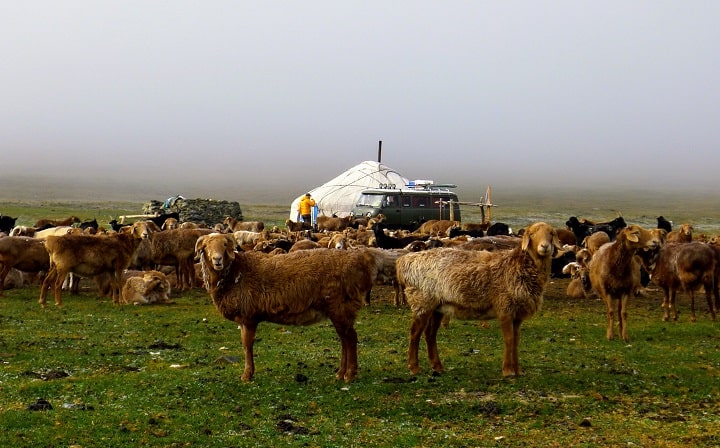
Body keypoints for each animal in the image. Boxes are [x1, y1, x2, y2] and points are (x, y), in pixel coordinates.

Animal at [191, 233, 382, 384]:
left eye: (225, 245)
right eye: (206, 246)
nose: (217, 260)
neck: (235, 273)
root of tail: (359, 263)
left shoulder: (248, 317)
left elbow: (247, 346)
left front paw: (247, 375)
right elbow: (247, 346)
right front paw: (248, 373)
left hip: (340, 306)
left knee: (350, 338)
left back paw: (349, 375)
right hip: (338, 310)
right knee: (345, 339)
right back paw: (340, 373)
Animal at [400, 222, 564, 376]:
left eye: (551, 233)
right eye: (532, 234)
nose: (545, 246)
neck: (517, 265)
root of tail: (405, 261)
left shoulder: (517, 314)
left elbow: (516, 340)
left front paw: (518, 370)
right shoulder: (504, 308)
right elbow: (508, 339)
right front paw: (508, 371)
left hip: (438, 306)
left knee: (430, 334)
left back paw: (437, 367)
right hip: (421, 301)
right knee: (415, 333)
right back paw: (414, 367)